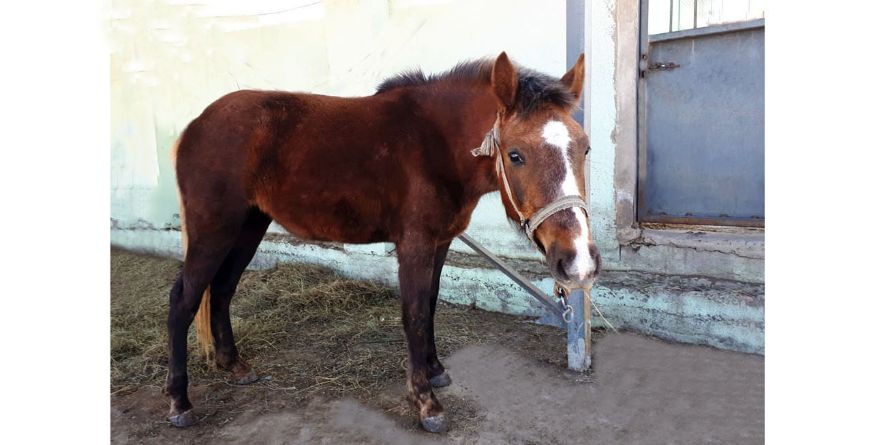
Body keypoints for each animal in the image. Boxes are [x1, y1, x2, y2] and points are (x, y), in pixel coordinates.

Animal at [166, 51, 600, 430]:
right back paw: (179, 402)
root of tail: (194, 126)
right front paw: (426, 402)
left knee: (222, 289)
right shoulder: (414, 246)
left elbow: (429, 305)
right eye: (515, 155)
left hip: (248, 226)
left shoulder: (439, 243)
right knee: (184, 299)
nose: (578, 262)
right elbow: (414, 315)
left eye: (585, 148)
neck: (435, 143)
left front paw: (435, 371)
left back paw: (234, 366)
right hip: (214, 230)